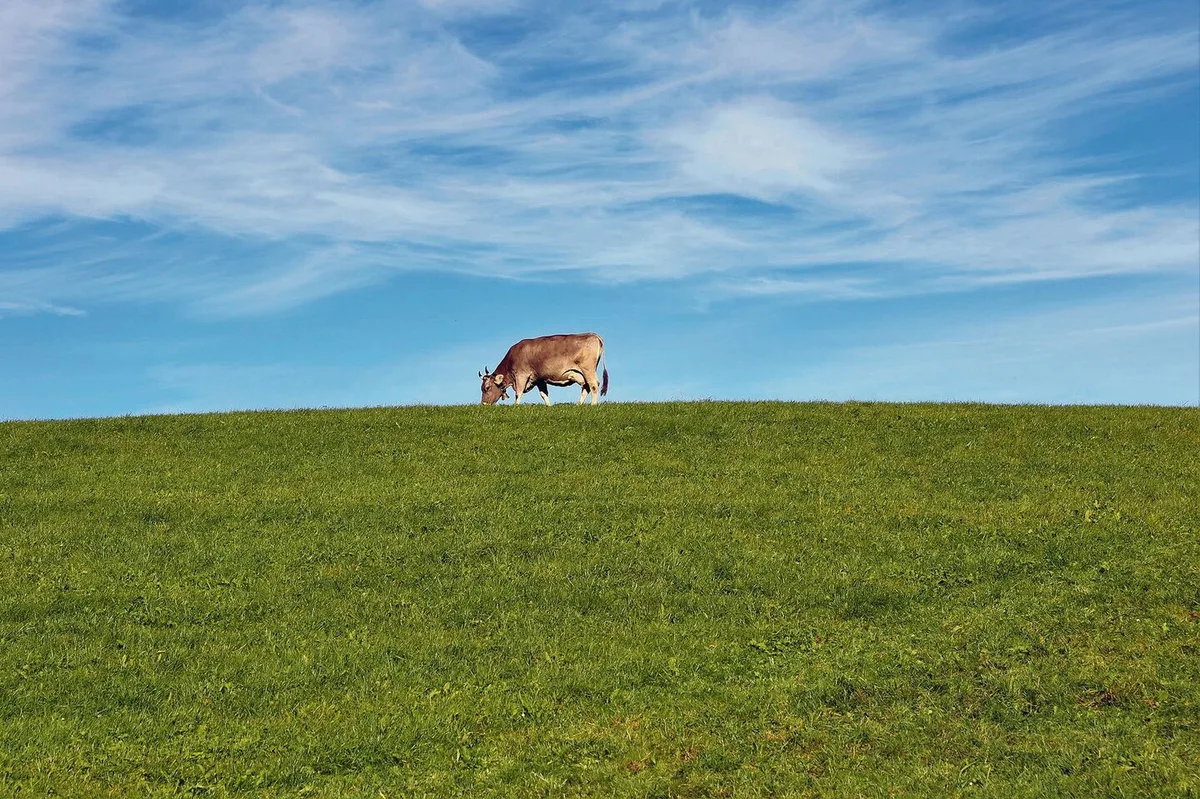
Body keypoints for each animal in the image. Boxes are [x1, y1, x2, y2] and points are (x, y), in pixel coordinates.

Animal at [479, 332, 609, 406]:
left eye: (487, 388)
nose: (483, 404)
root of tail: (592, 334)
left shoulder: (521, 375)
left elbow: (518, 393)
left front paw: (515, 406)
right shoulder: (539, 379)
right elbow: (544, 394)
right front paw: (548, 406)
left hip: (588, 370)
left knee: (593, 385)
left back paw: (593, 405)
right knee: (586, 387)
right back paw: (578, 404)